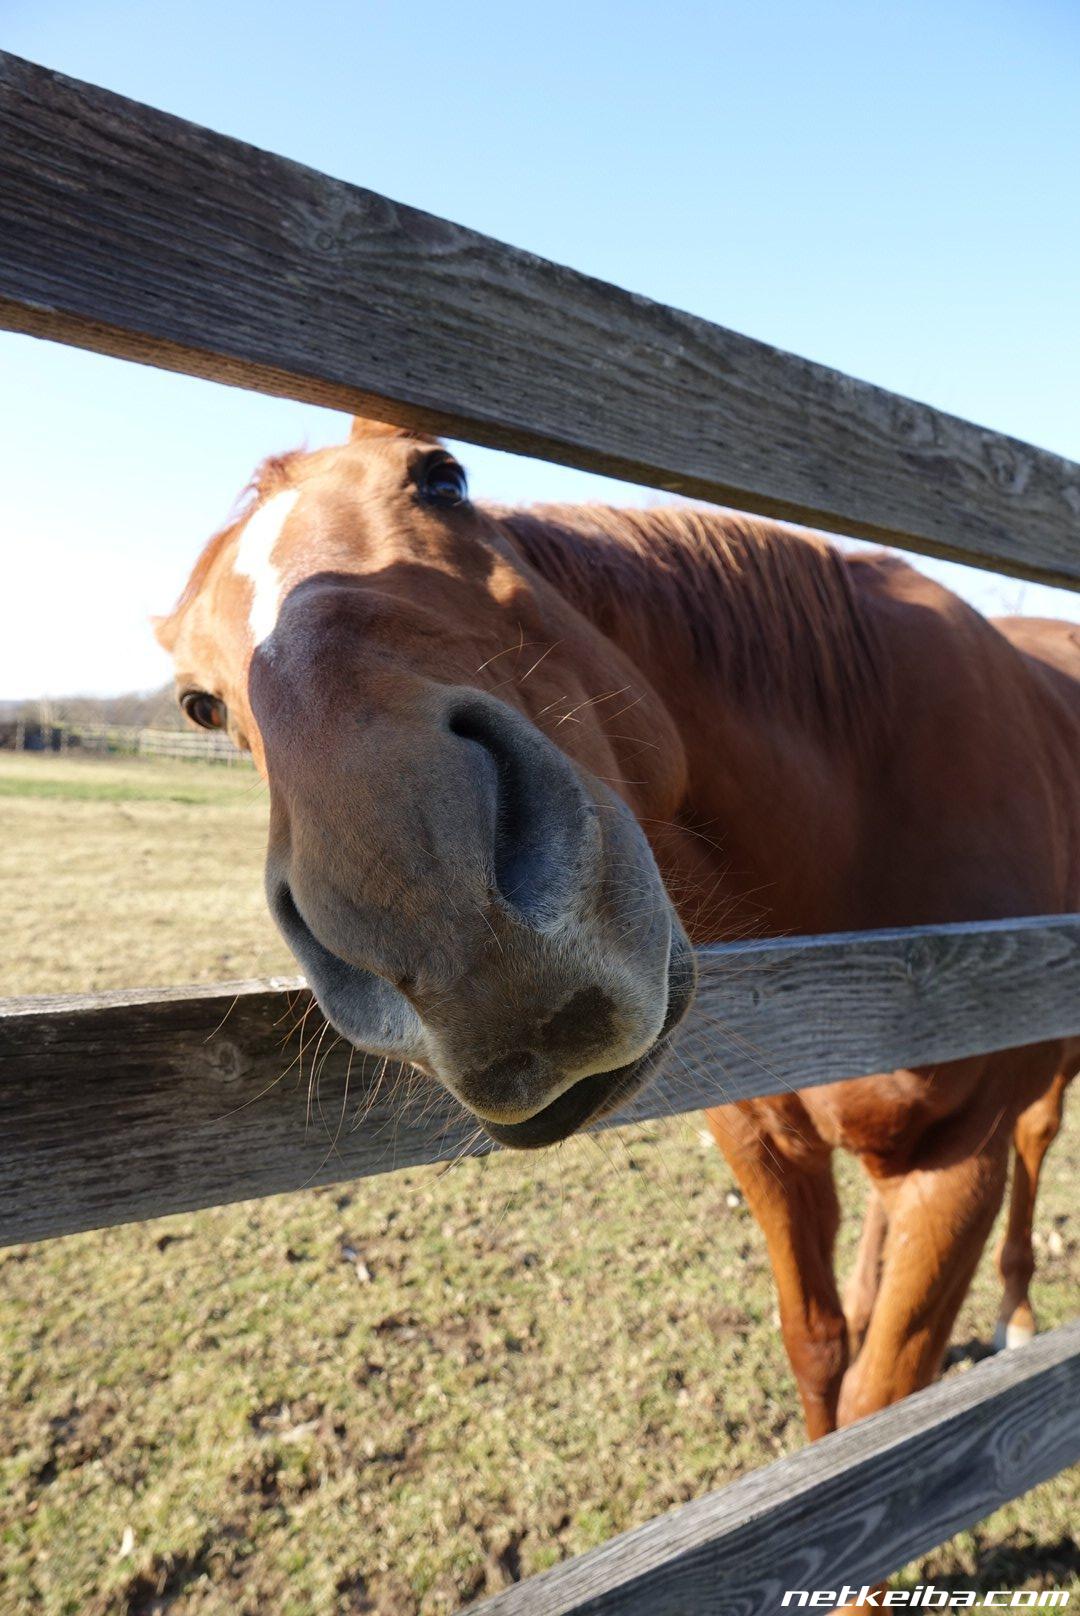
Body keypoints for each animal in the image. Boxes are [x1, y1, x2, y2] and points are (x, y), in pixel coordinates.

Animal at [156, 410, 1073, 1447]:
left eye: (443, 477)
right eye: (199, 704)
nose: (428, 894)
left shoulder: (961, 1161)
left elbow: (887, 1399)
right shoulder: (763, 1138)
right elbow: (819, 1350)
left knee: (1039, 1145)